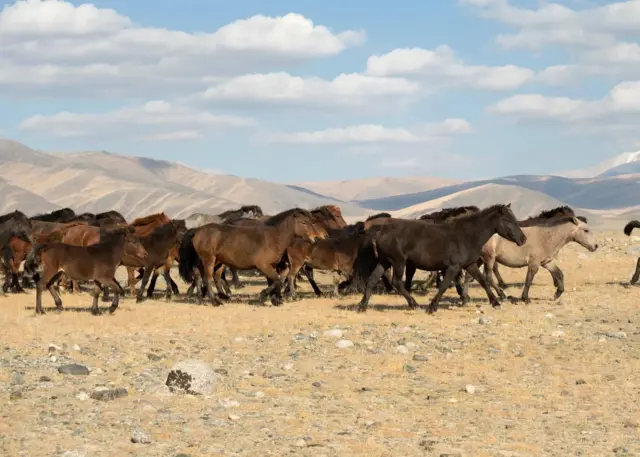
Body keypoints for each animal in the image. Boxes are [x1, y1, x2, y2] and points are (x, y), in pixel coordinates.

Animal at [178, 208, 326, 306]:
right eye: (303, 223)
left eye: (311, 222)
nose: (316, 238)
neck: (273, 238)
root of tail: (197, 230)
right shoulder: (263, 265)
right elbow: (277, 280)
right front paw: (263, 295)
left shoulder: (272, 266)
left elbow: (274, 282)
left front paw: (275, 300)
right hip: (208, 259)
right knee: (207, 278)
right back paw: (215, 301)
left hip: (215, 261)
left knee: (205, 276)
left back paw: (205, 297)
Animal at [354, 204, 526, 313]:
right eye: (508, 220)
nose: (523, 239)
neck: (467, 235)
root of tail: (380, 232)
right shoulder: (453, 267)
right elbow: (444, 285)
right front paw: (432, 307)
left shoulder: (469, 264)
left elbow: (483, 280)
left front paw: (496, 302)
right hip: (398, 262)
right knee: (397, 282)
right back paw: (414, 304)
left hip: (384, 261)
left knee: (373, 279)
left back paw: (362, 306)